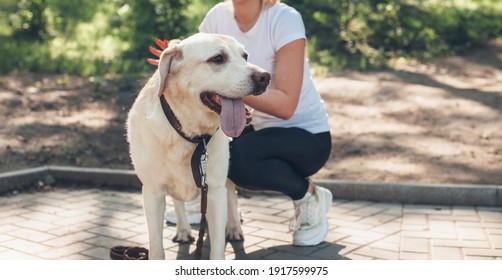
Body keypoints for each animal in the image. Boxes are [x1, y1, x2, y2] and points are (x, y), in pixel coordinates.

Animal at [127, 33, 272, 260]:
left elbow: (218, 246)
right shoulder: (152, 192)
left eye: (245, 56)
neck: (191, 135)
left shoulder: (213, 190)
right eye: (218, 59)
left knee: (231, 194)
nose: (264, 77)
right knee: (178, 202)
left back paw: (233, 227)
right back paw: (183, 230)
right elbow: (156, 248)